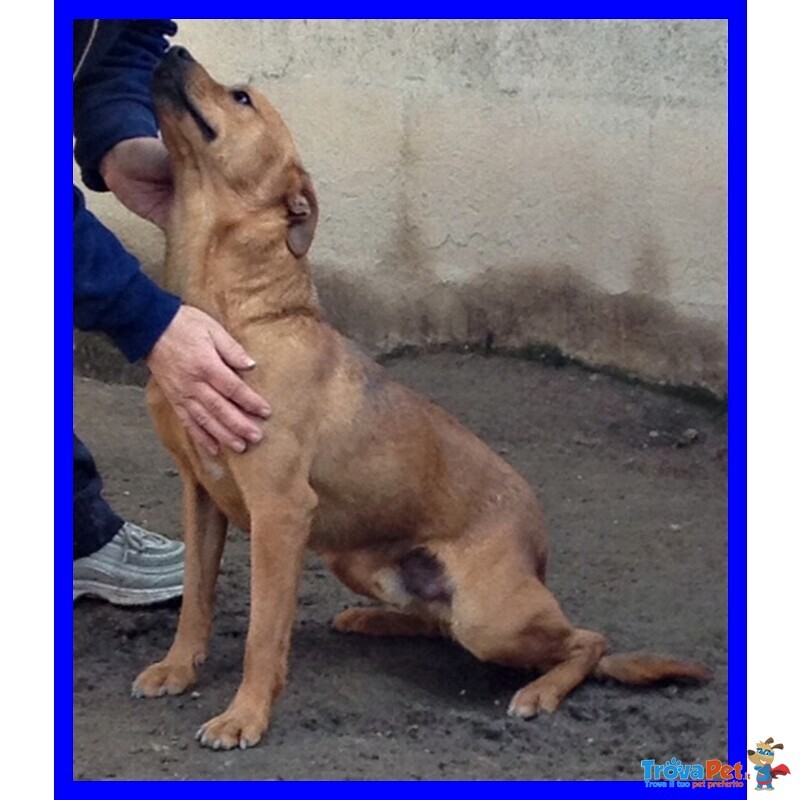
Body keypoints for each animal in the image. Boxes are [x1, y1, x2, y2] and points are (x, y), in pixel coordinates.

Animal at [133, 48, 712, 752]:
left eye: (242, 97)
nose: (171, 49)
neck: (239, 313)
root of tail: (538, 547)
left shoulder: (280, 511)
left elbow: (263, 633)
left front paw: (245, 715)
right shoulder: (201, 493)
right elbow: (196, 596)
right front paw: (178, 668)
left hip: (490, 615)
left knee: (586, 641)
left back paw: (540, 692)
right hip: (360, 562)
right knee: (440, 623)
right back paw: (369, 620)